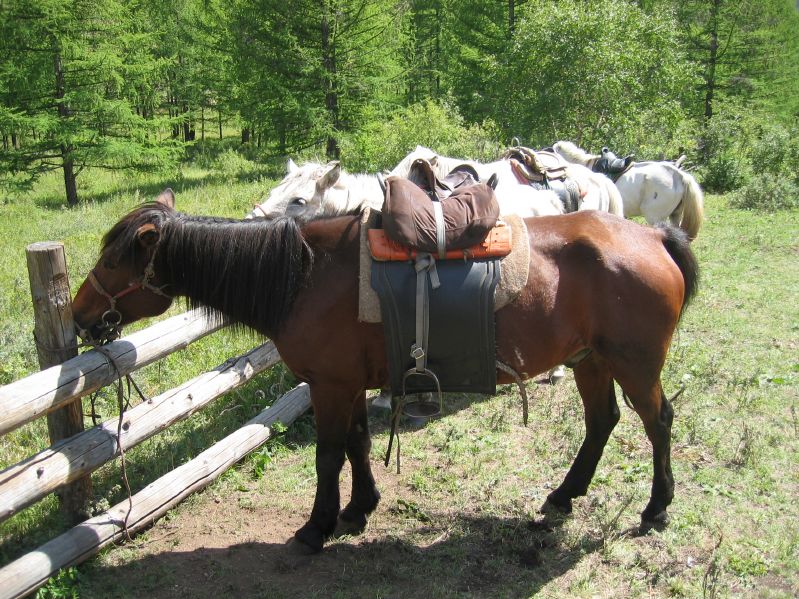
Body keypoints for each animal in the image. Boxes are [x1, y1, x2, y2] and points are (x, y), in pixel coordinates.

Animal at [73, 191, 700, 552]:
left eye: (112, 259)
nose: (79, 314)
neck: (306, 274)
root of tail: (652, 234)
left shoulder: (329, 386)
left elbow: (329, 455)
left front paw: (318, 526)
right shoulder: (348, 384)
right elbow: (358, 444)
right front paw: (359, 509)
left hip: (634, 364)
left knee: (658, 423)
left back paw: (656, 507)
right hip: (591, 360)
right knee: (601, 423)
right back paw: (563, 497)